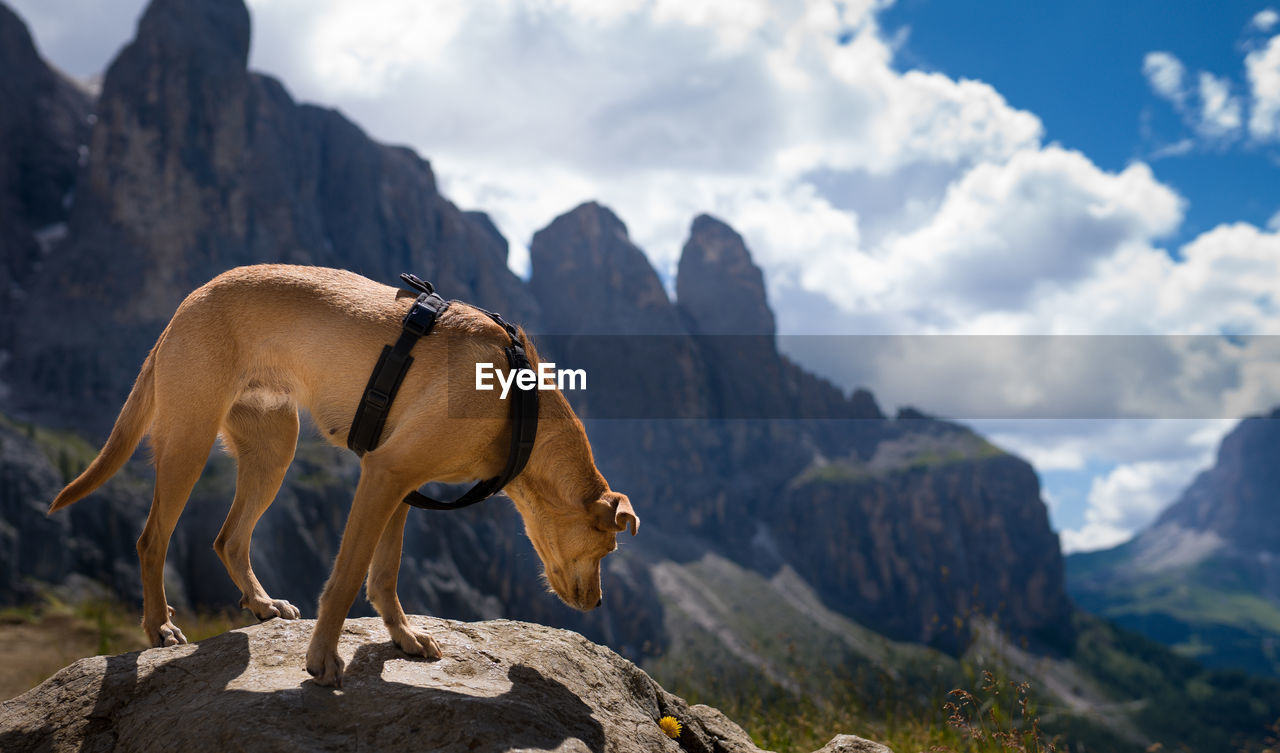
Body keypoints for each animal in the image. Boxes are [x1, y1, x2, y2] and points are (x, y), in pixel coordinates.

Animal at [48, 265, 640, 686]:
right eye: (606, 549)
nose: (598, 605)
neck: (519, 405)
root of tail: (187, 304)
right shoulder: (385, 473)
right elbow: (349, 577)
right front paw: (323, 658)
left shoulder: (402, 485)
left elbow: (385, 574)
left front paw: (403, 637)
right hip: (188, 445)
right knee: (152, 539)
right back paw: (159, 626)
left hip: (273, 450)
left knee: (228, 538)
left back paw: (261, 603)